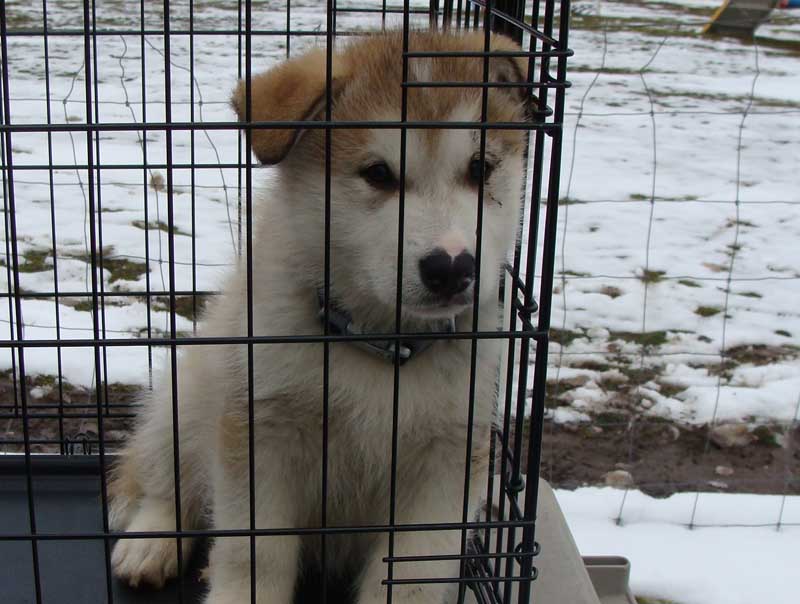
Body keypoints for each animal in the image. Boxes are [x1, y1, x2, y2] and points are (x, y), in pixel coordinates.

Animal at [108, 31, 532, 604]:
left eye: (480, 168)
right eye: (378, 174)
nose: (451, 268)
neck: (382, 345)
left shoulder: (449, 455)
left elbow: (414, 571)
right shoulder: (259, 429)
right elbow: (253, 552)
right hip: (187, 394)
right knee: (167, 480)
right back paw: (151, 541)